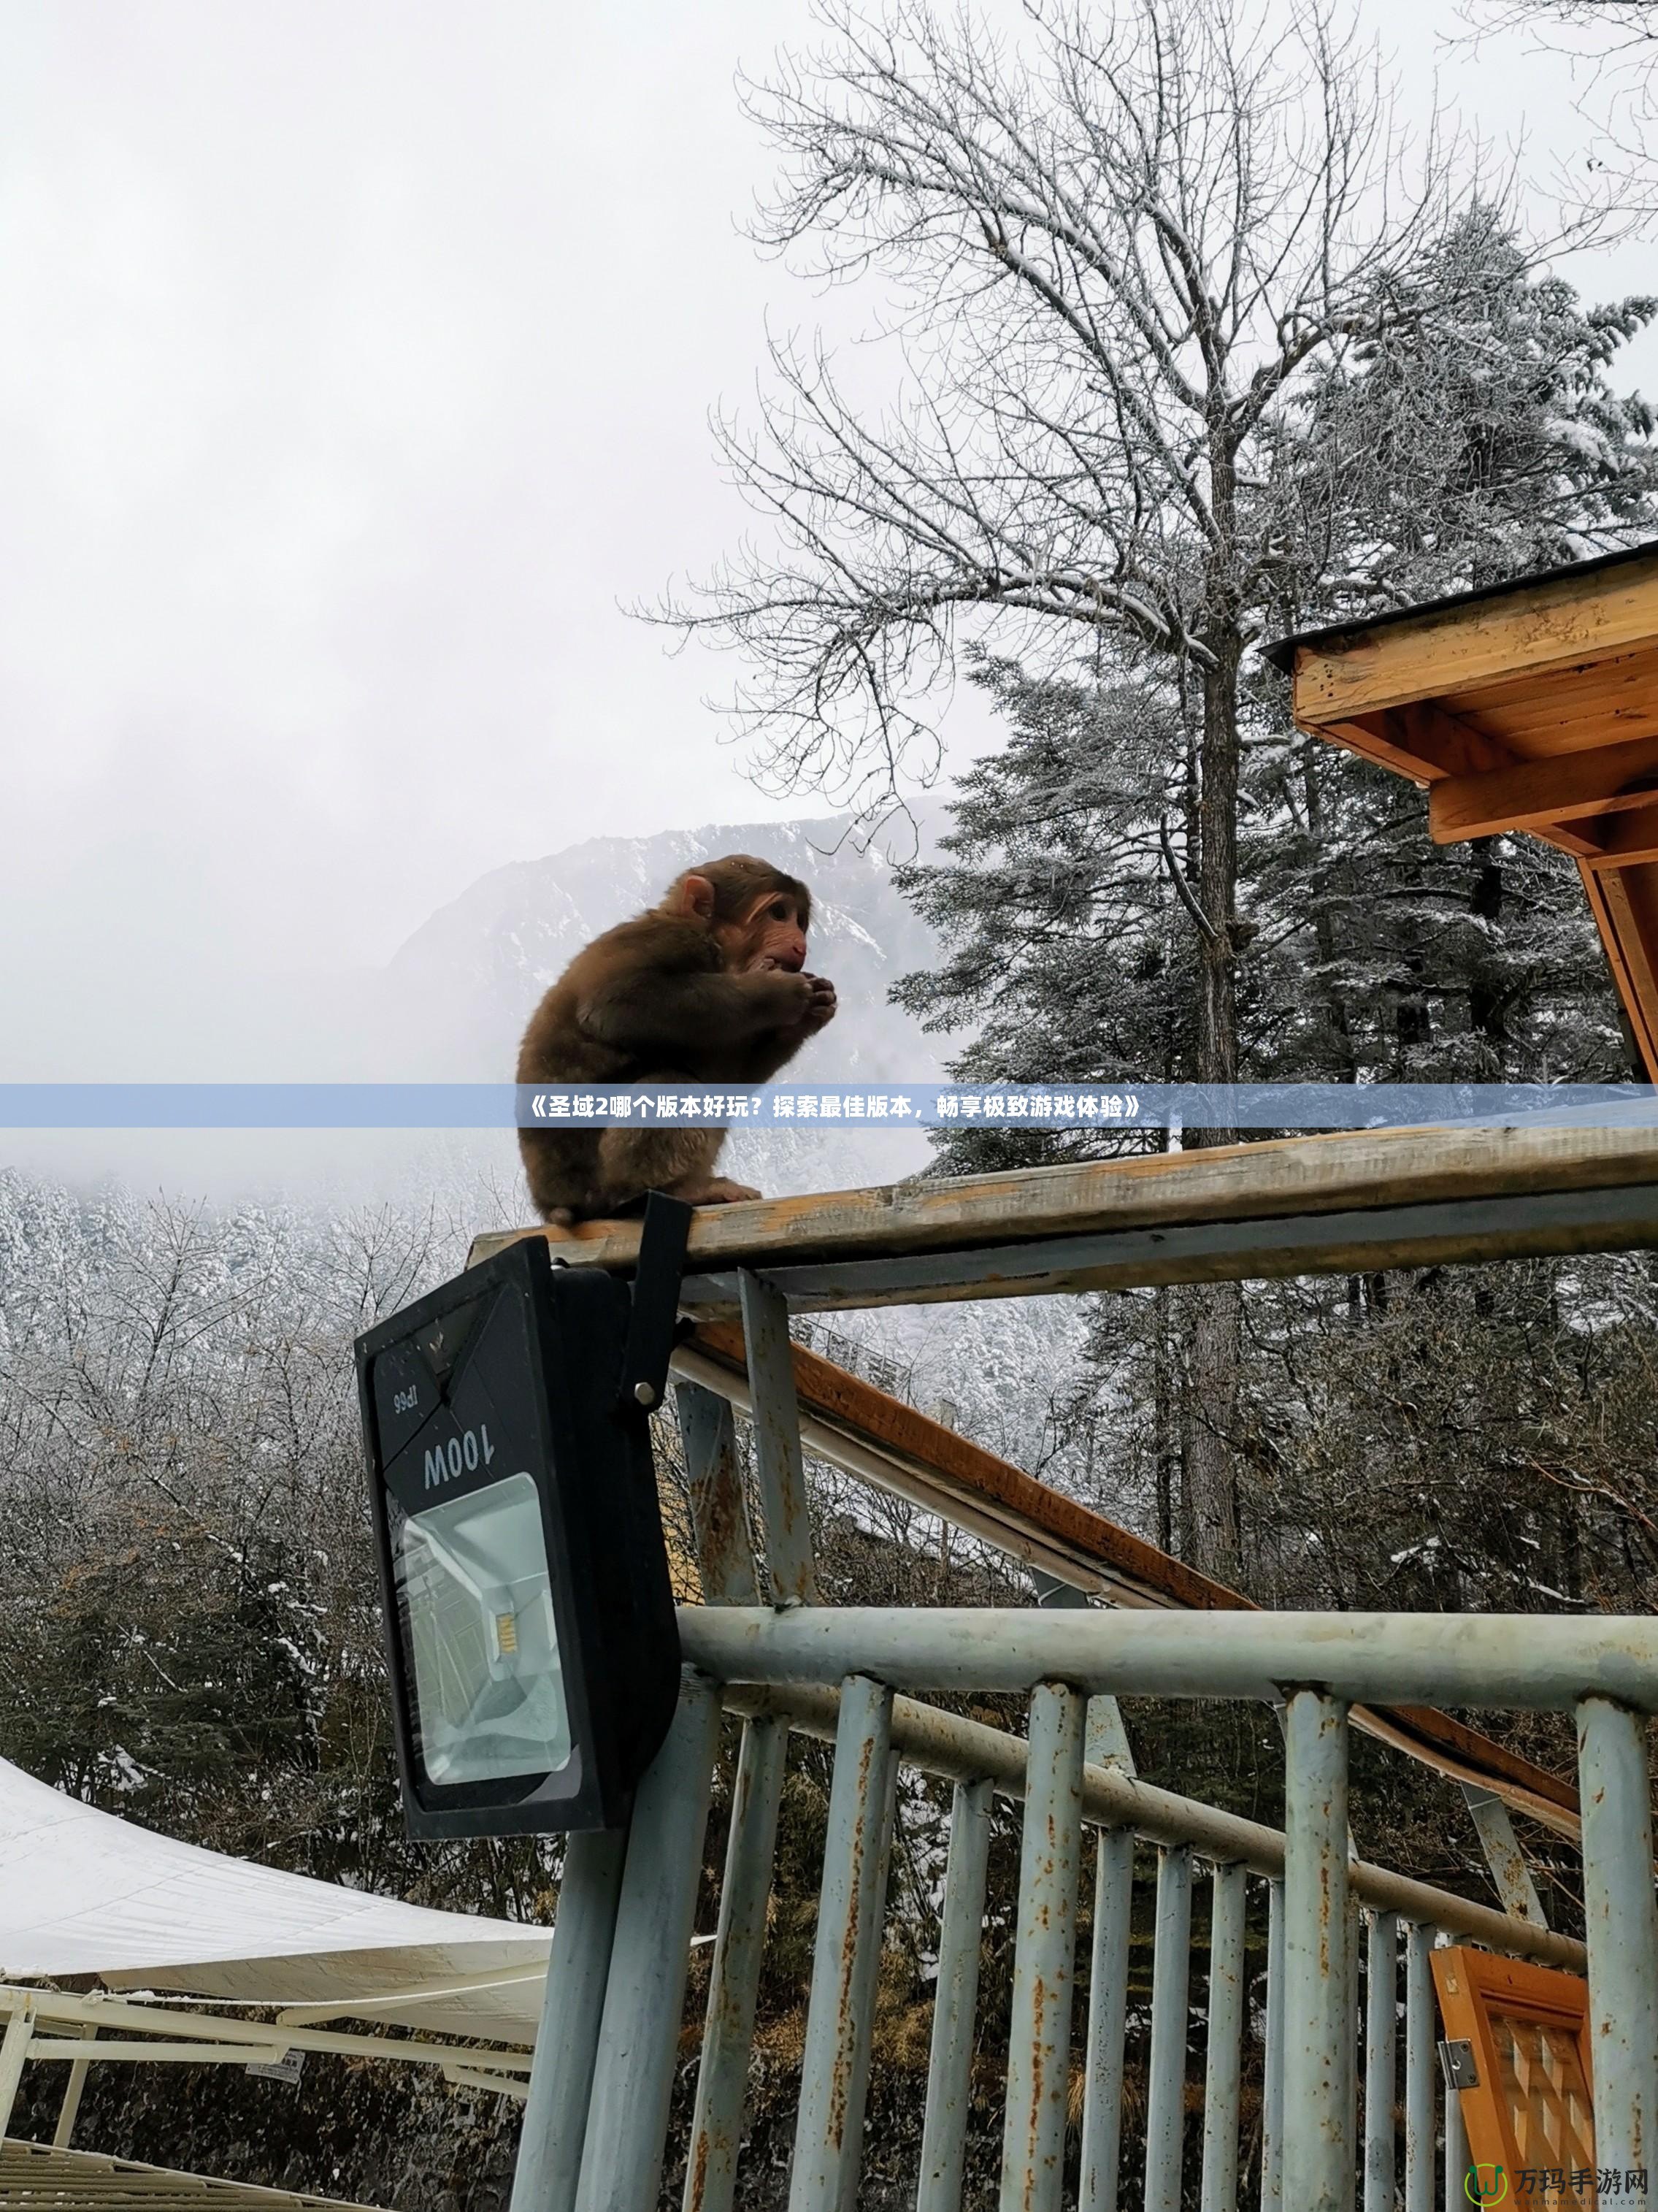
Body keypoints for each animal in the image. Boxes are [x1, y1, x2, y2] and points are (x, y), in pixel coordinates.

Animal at [517, 849, 835, 1230]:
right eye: (778, 914)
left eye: (799, 920)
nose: (801, 943)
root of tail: (553, 1205)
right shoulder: (673, 939)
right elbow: (614, 1003)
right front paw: (775, 991)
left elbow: (724, 1081)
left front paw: (811, 1012)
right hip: (594, 1188)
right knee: (672, 1084)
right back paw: (670, 1189)